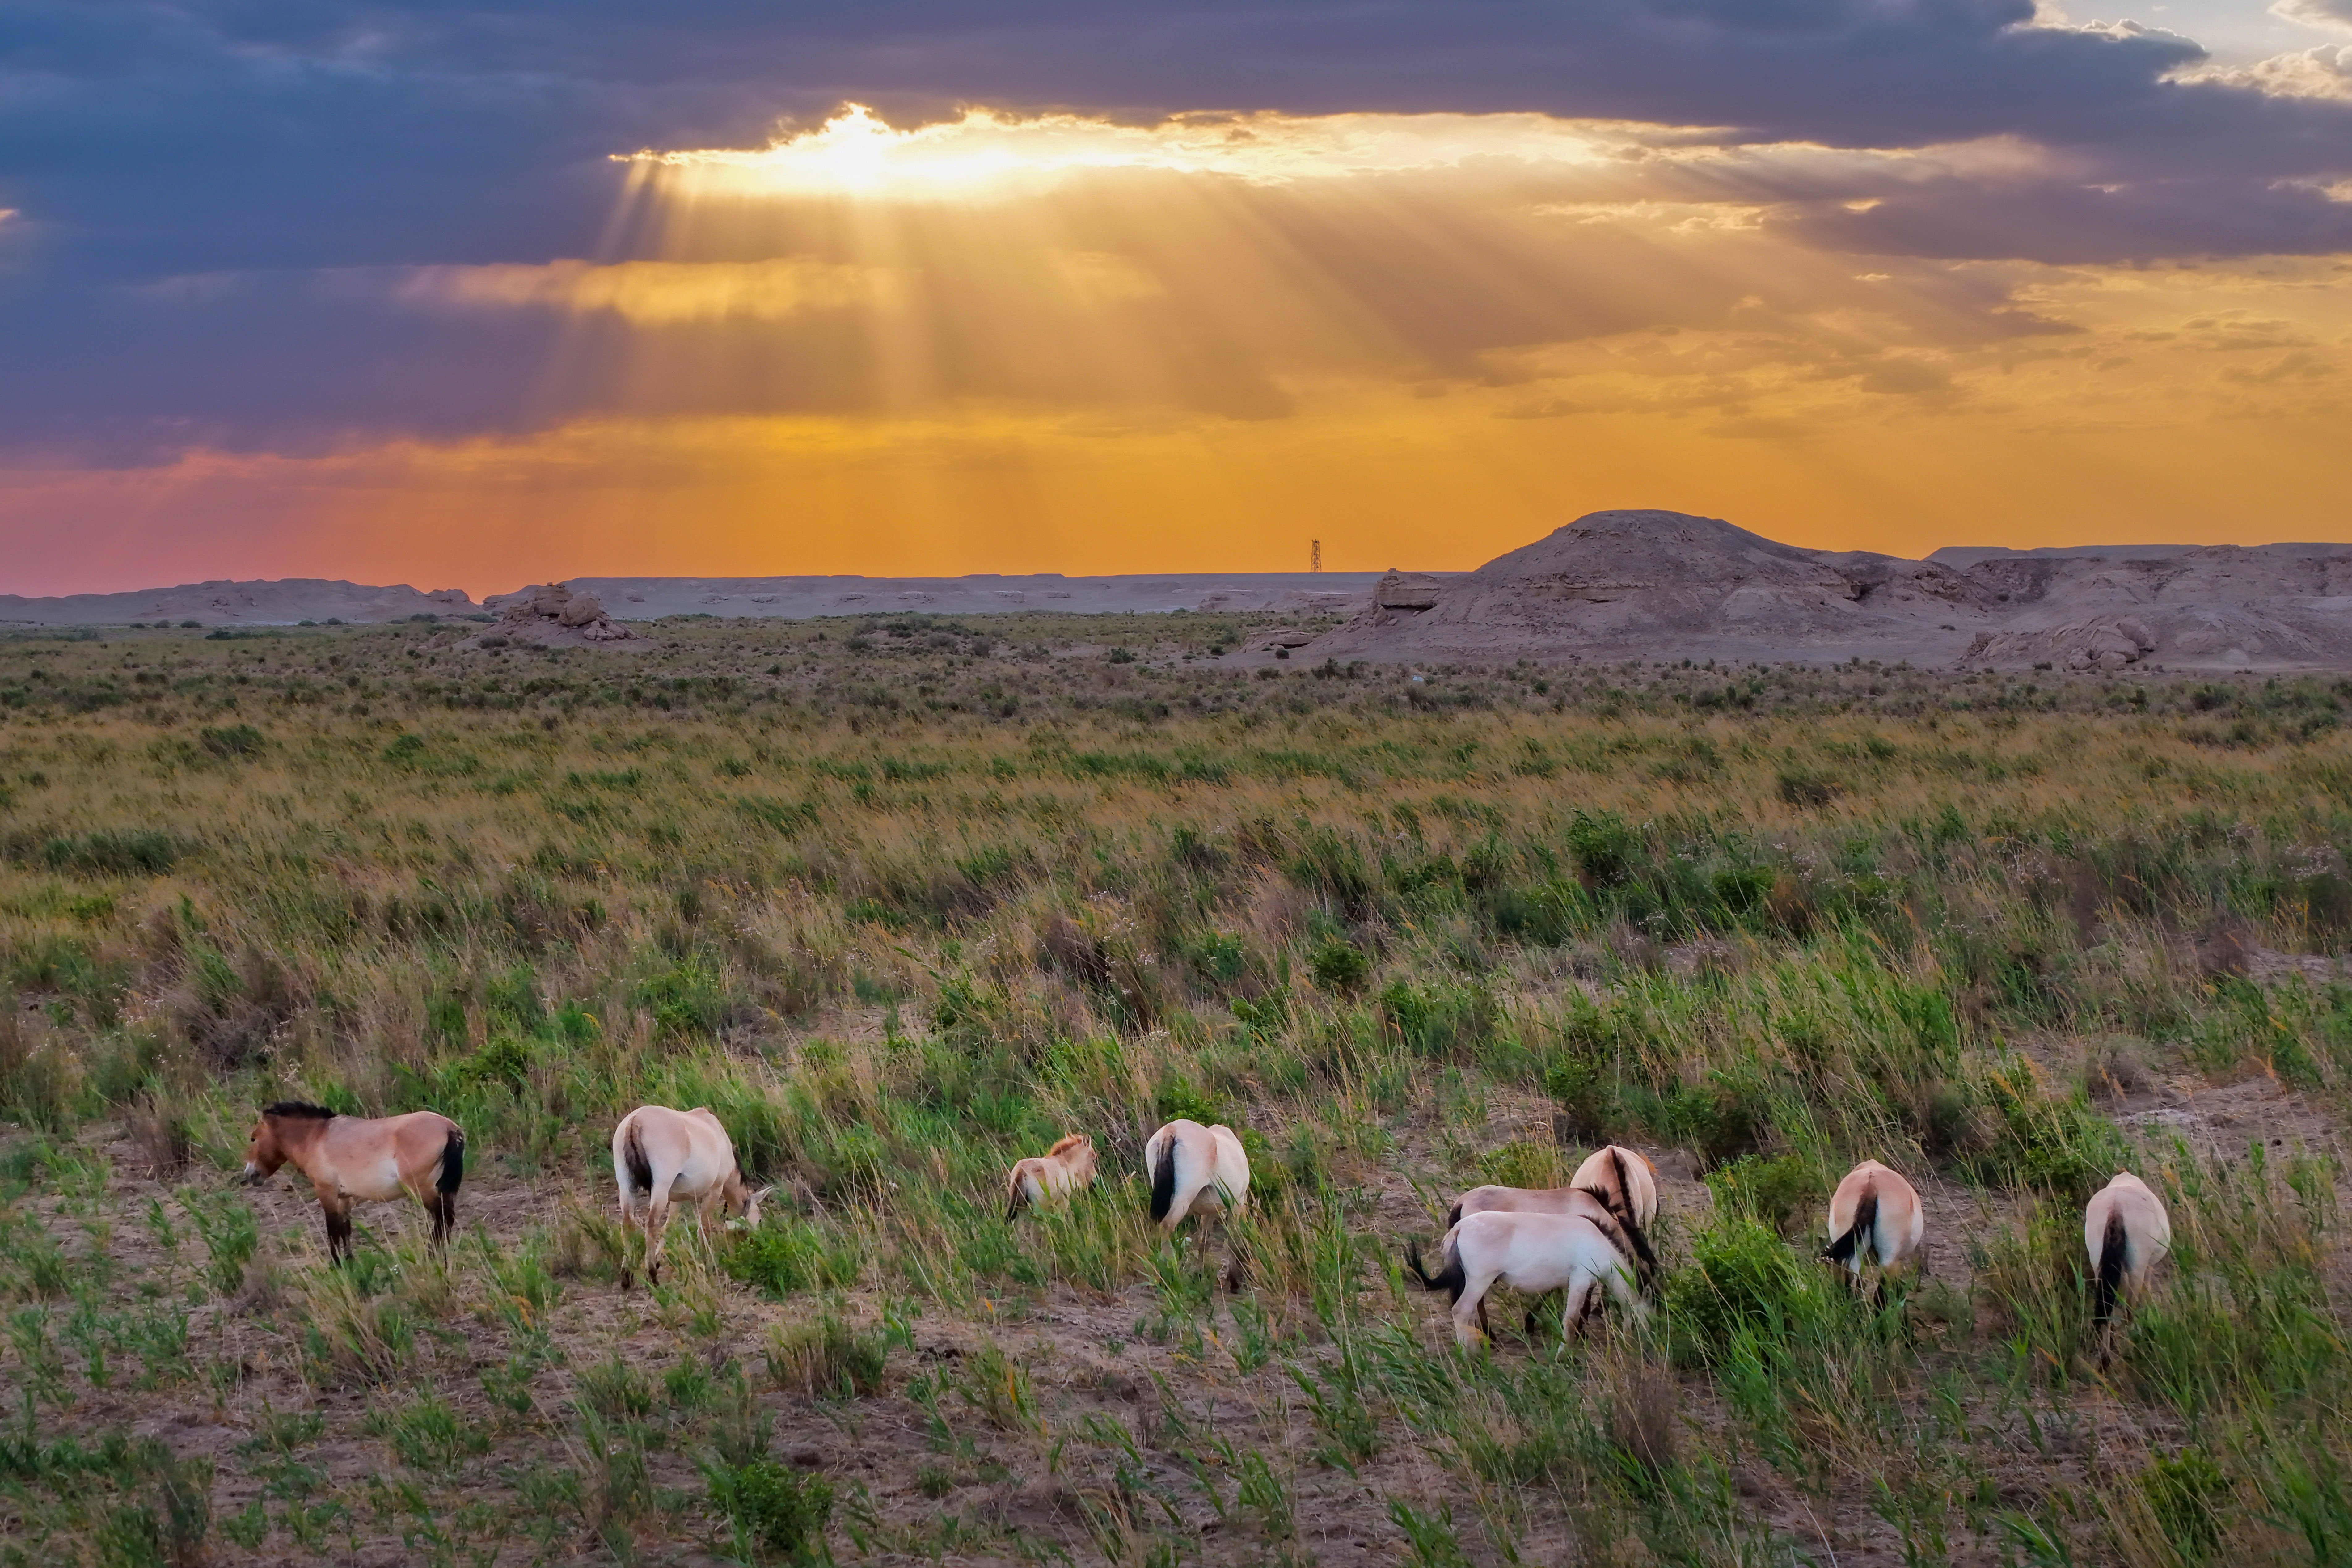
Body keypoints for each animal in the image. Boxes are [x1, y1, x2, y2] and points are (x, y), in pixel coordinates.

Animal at [241, 1102, 464, 1266]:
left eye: (253, 1138)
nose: (249, 1175)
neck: (316, 1136)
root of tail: (450, 1129)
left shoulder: (327, 1193)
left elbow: (332, 1230)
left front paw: (336, 1264)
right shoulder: (344, 1198)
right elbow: (345, 1229)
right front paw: (349, 1260)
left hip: (423, 1190)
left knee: (443, 1219)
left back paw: (432, 1255)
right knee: (446, 1221)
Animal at [611, 1105, 774, 1288]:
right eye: (759, 1219)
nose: (754, 1244)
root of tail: (636, 1120)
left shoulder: (677, 1200)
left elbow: (669, 1228)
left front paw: (659, 1259)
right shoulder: (714, 1192)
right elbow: (704, 1228)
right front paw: (708, 1262)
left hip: (627, 1186)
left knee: (628, 1224)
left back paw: (627, 1276)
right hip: (660, 1188)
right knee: (652, 1225)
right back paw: (652, 1275)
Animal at [1005, 1134, 1098, 1220]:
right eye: (1093, 1160)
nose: (1094, 1184)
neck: (1065, 1163)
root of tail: (1021, 1171)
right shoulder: (1063, 1201)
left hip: (1021, 1208)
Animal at [1406, 1211, 1649, 1349]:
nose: (1646, 1344)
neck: (1600, 1243)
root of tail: (1460, 1227)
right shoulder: (1580, 1278)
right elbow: (1571, 1320)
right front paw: (1564, 1356)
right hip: (1479, 1281)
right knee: (1461, 1310)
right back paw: (1470, 1355)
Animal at [2085, 1170, 2171, 1329]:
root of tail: (2116, 1207)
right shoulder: (2148, 1267)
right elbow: (2146, 1289)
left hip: (2097, 1264)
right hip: (2137, 1267)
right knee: (2132, 1304)